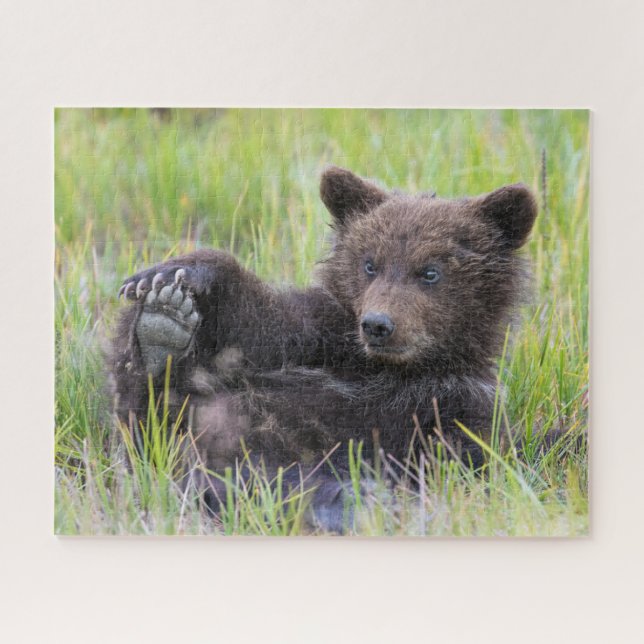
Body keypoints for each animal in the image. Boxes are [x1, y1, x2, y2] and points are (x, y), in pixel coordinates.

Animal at [110, 165, 537, 531]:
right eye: (370, 263)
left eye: (431, 271)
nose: (377, 324)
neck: (395, 367)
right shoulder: (323, 337)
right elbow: (265, 323)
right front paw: (175, 275)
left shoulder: (457, 403)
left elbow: (454, 465)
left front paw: (352, 501)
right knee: (146, 420)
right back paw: (160, 332)